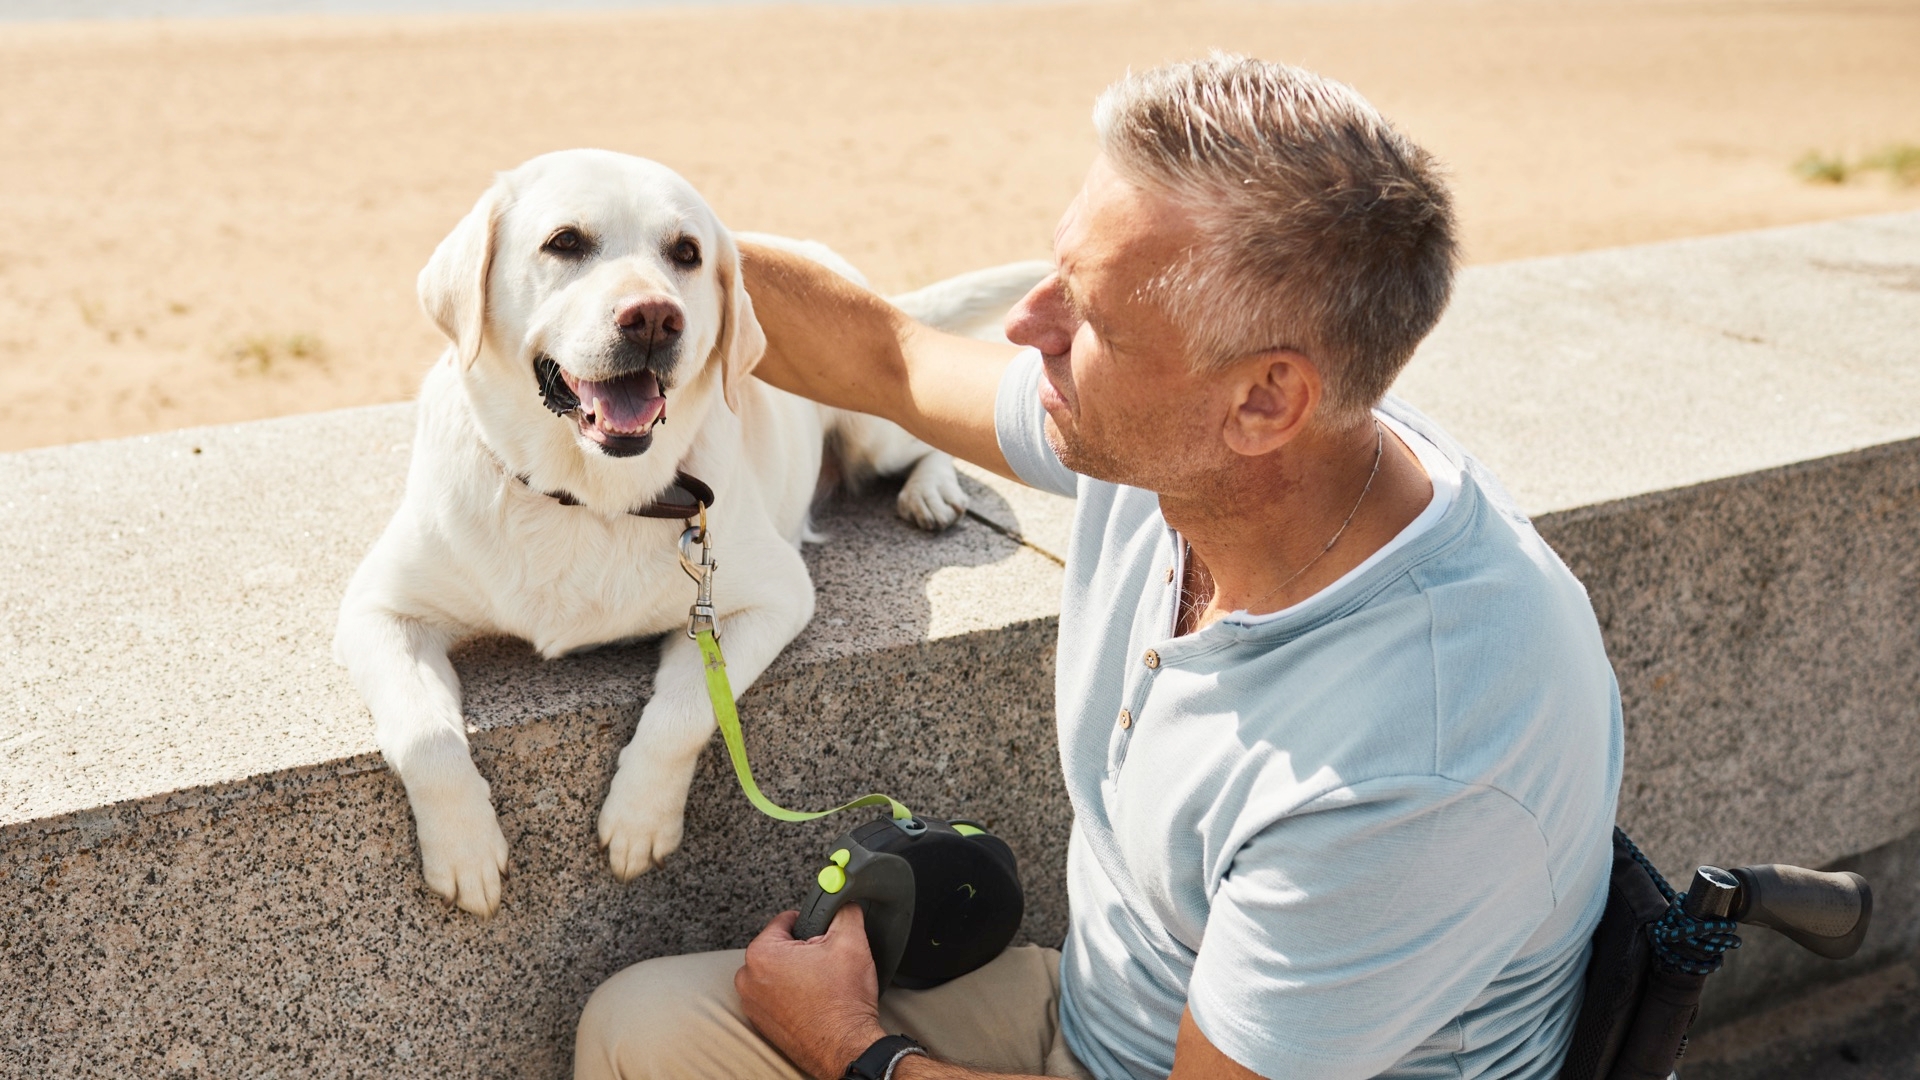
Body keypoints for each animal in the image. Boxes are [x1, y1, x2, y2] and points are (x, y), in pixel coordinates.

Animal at [337, 147, 1044, 910]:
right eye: (565, 242)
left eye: (686, 253)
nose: (652, 317)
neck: (586, 497)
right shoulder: (380, 609)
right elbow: (425, 735)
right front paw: (464, 849)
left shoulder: (765, 599)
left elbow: (684, 713)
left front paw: (639, 819)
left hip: (872, 423)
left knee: (928, 442)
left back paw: (933, 491)